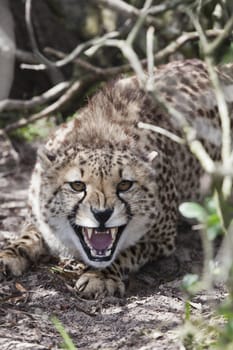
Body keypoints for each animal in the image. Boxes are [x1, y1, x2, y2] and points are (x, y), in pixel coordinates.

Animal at [0, 59, 233, 298]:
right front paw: (8, 255)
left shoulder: (162, 238)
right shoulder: (36, 216)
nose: (102, 214)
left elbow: (127, 251)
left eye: (125, 184)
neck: (99, 136)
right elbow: (26, 237)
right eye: (77, 185)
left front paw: (100, 277)